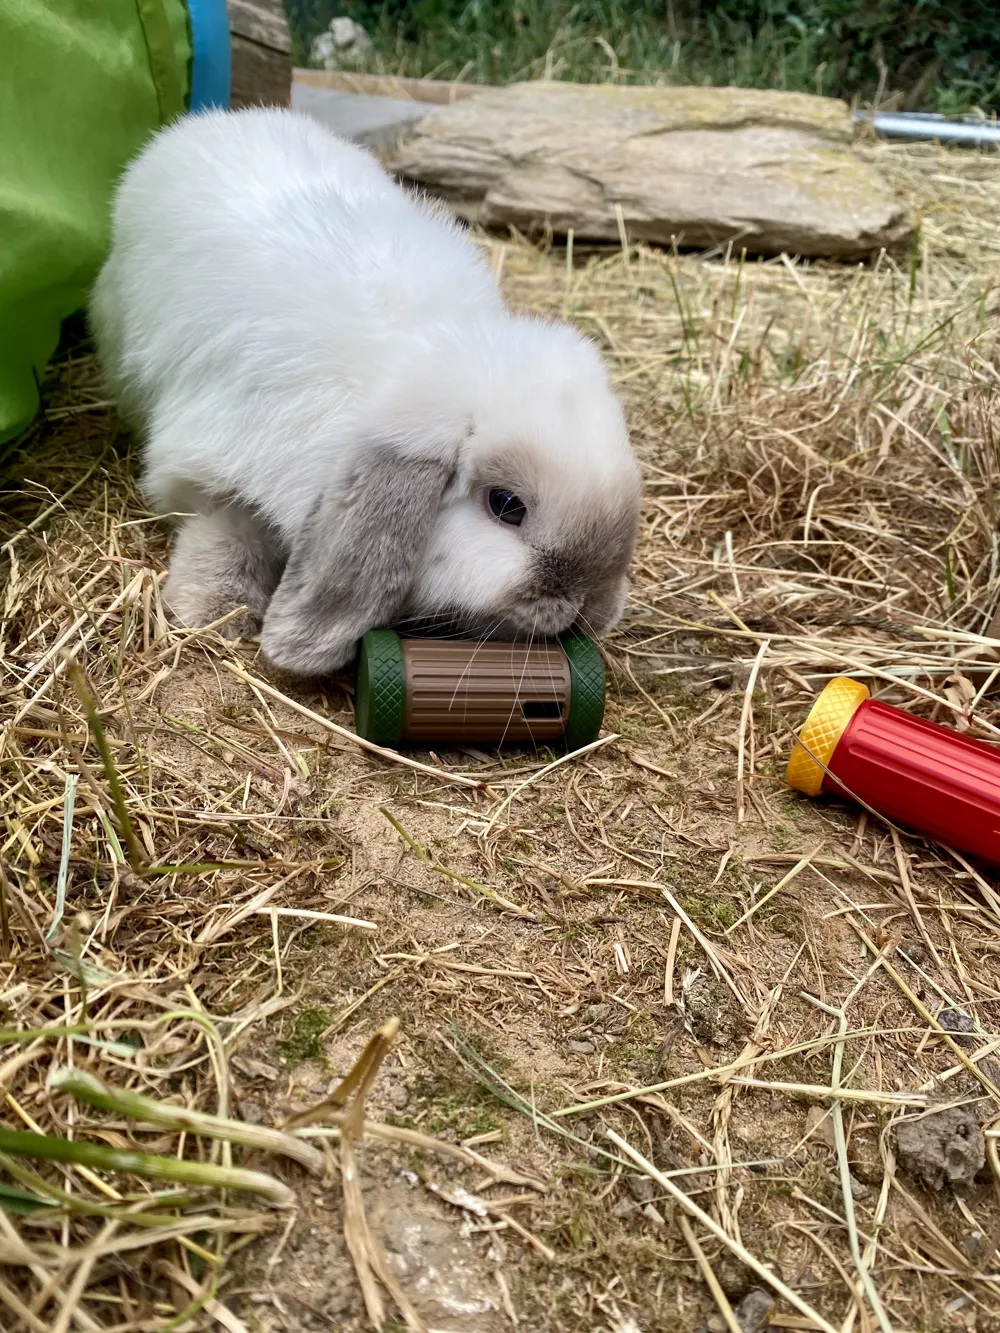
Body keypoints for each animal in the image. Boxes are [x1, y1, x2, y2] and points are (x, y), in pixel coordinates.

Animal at [90, 107, 643, 676]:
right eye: (506, 504)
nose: (589, 605)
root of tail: (205, 124)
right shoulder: (210, 469)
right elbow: (225, 534)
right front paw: (217, 612)